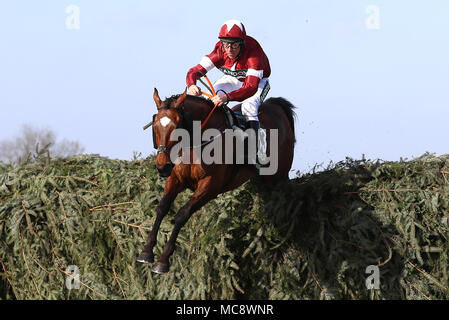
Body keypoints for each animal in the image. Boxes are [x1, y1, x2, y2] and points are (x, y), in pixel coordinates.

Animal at [136, 89, 298, 274]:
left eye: (176, 127)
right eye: (155, 126)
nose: (162, 166)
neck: (197, 142)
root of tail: (277, 107)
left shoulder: (210, 187)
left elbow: (182, 214)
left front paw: (163, 260)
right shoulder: (175, 178)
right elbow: (162, 207)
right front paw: (146, 252)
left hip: (279, 177)